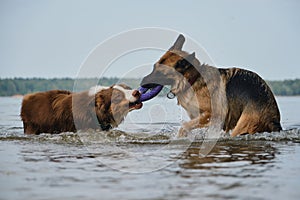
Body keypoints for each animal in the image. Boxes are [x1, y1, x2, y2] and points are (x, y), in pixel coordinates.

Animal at [141, 34, 282, 138]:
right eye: (154, 68)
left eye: (160, 73)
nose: (142, 82)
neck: (193, 80)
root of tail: (274, 120)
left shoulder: (212, 115)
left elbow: (185, 126)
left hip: (243, 125)